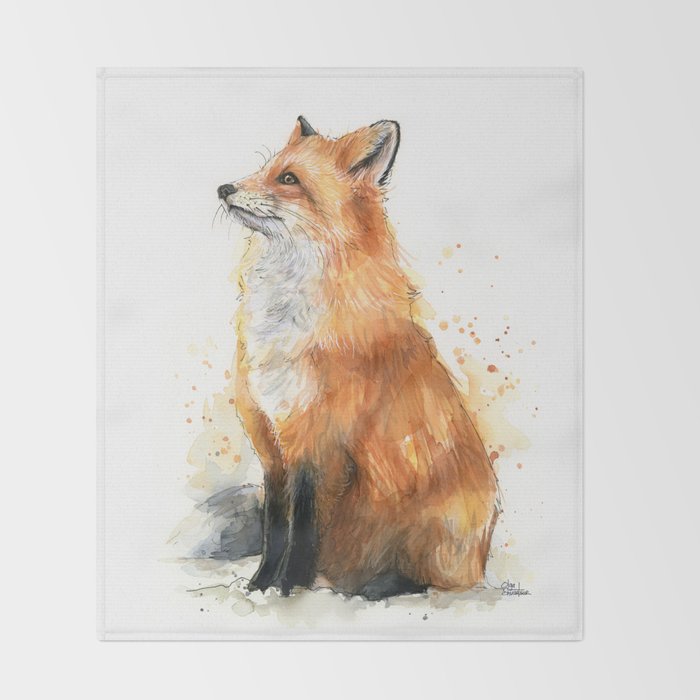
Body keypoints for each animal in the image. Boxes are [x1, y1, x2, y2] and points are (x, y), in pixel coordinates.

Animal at [217, 116, 499, 600]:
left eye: (288, 179)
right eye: (267, 169)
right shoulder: (272, 444)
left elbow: (304, 528)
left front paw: (289, 589)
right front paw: (260, 586)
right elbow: (276, 527)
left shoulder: (319, 445)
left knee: (432, 582)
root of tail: (479, 563)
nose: (224, 188)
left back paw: (379, 587)